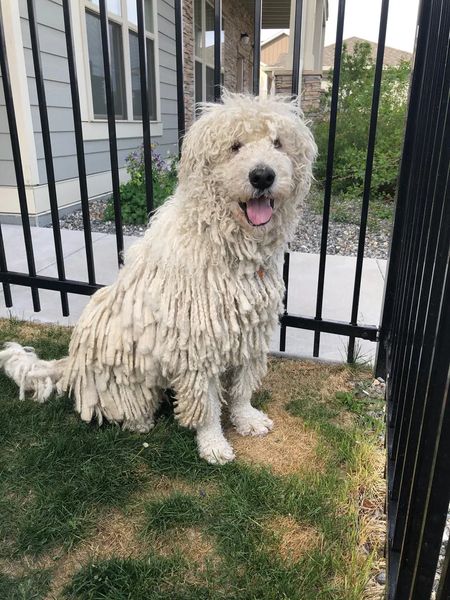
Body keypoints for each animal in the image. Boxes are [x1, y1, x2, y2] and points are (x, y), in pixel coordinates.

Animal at [0, 94, 316, 466]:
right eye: (234, 146)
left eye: (277, 143)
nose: (263, 175)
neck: (225, 241)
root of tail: (73, 364)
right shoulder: (198, 346)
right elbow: (206, 403)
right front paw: (213, 444)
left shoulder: (248, 332)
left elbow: (241, 387)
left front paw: (247, 418)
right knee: (124, 405)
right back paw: (140, 421)